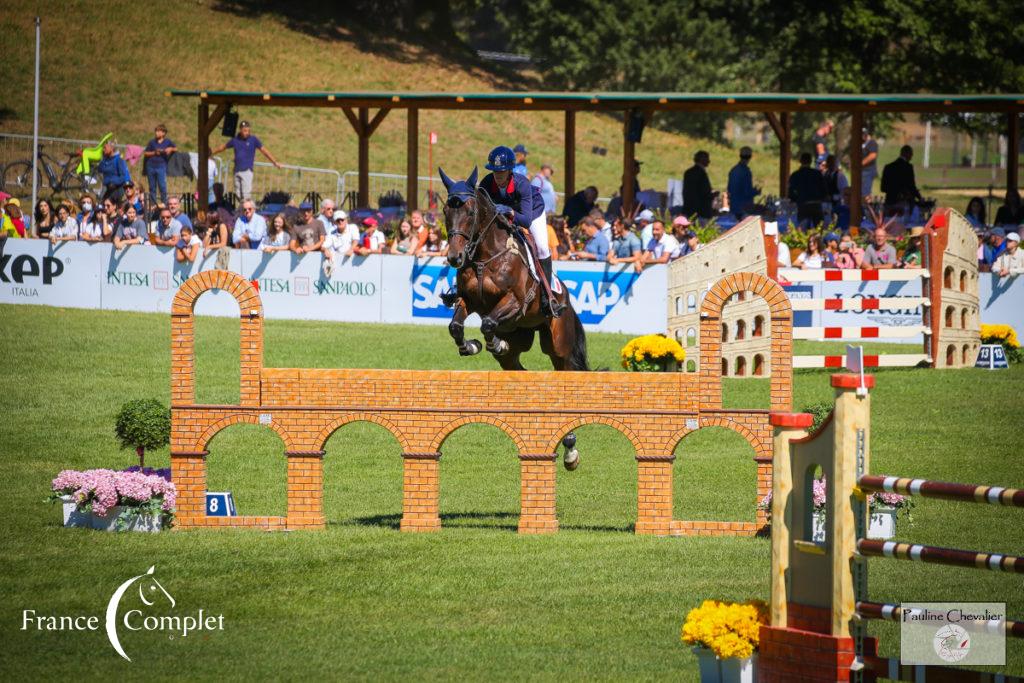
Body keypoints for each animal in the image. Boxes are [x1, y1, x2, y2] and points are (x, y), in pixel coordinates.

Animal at [436, 167, 589, 376]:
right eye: (445, 211)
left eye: (471, 212)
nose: (454, 257)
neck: (485, 258)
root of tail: (567, 300)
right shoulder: (467, 299)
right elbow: (455, 327)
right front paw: (472, 346)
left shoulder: (516, 301)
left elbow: (488, 323)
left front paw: (496, 344)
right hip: (516, 338)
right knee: (516, 366)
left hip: (559, 346)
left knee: (566, 365)